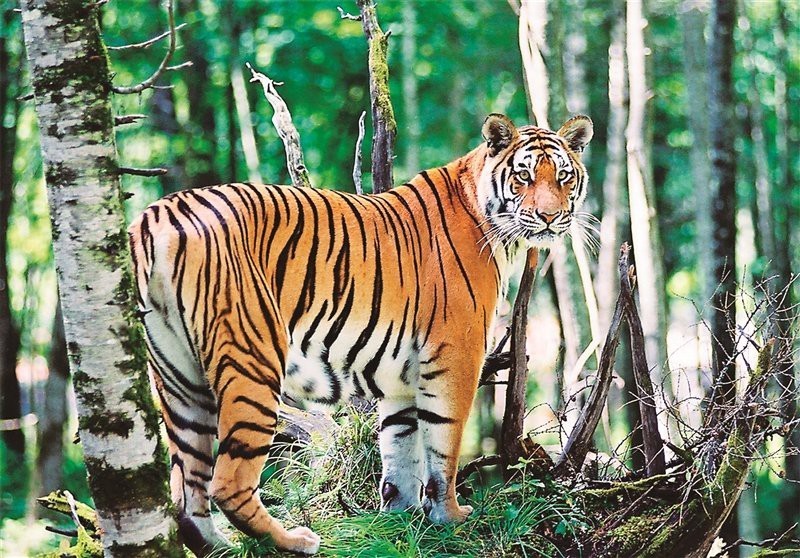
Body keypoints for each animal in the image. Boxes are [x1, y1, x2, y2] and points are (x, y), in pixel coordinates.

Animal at [128, 113, 593, 556]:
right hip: (252, 360)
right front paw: (451, 516)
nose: (550, 217)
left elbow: (400, 444)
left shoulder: (402, 376)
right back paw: (293, 542)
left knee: (187, 490)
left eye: (563, 177)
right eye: (524, 176)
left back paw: (218, 547)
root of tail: (159, 214)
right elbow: (443, 442)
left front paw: (399, 517)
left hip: (180, 378)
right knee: (228, 481)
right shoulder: (456, 354)